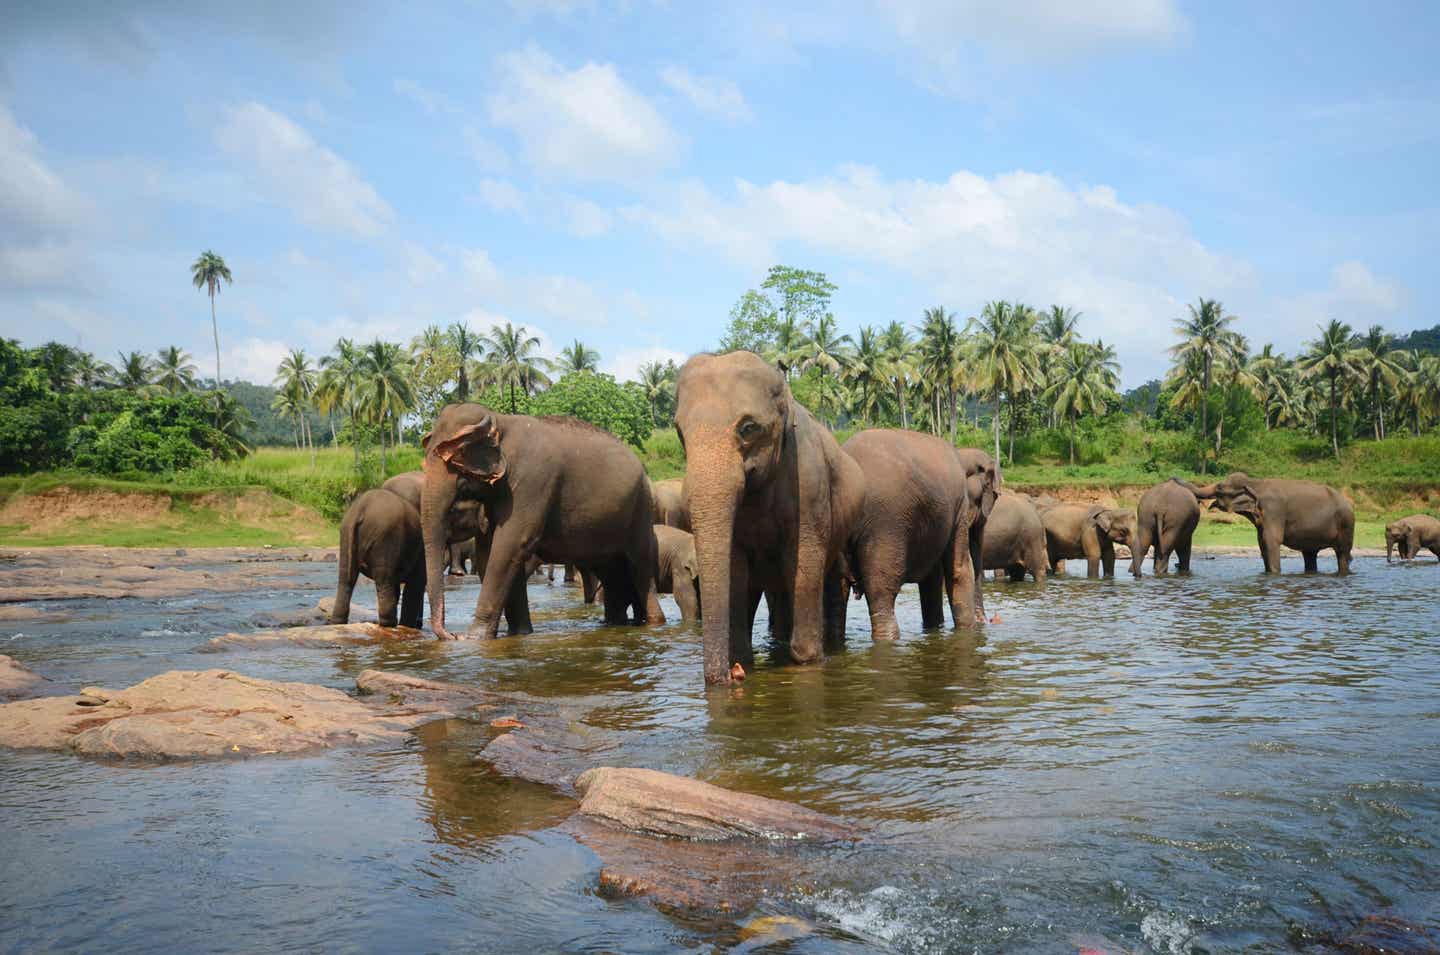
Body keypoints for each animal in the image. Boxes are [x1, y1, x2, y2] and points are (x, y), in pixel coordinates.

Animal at [332, 489, 426, 630]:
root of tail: (361, 508)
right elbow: (416, 584)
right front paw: (408, 626)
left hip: (346, 533)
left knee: (345, 578)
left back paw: (338, 622)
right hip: (386, 538)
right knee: (384, 580)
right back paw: (389, 624)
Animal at [417, 403, 662, 642]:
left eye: (455, 463)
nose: (451, 635)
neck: (500, 420)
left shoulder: (532, 481)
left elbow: (509, 545)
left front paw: (474, 638)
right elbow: (490, 551)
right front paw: (519, 633)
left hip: (641, 509)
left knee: (640, 567)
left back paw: (653, 623)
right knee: (611, 573)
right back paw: (615, 623)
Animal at [676, 351, 864, 688]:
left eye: (748, 428)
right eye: (679, 432)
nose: (732, 675)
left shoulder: (809, 483)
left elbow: (804, 561)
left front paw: (807, 660)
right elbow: (735, 569)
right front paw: (743, 660)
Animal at [840, 432, 990, 642]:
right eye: (985, 493)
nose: (986, 621)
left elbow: (933, 578)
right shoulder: (959, 505)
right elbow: (959, 569)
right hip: (886, 527)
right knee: (881, 592)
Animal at [1175, 472, 1353, 576]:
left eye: (1219, 488)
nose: (1173, 478)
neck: (1256, 483)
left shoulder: (1274, 511)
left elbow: (1271, 541)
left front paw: (1274, 575)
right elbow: (1262, 542)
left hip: (1346, 524)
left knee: (1343, 554)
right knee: (1309, 554)